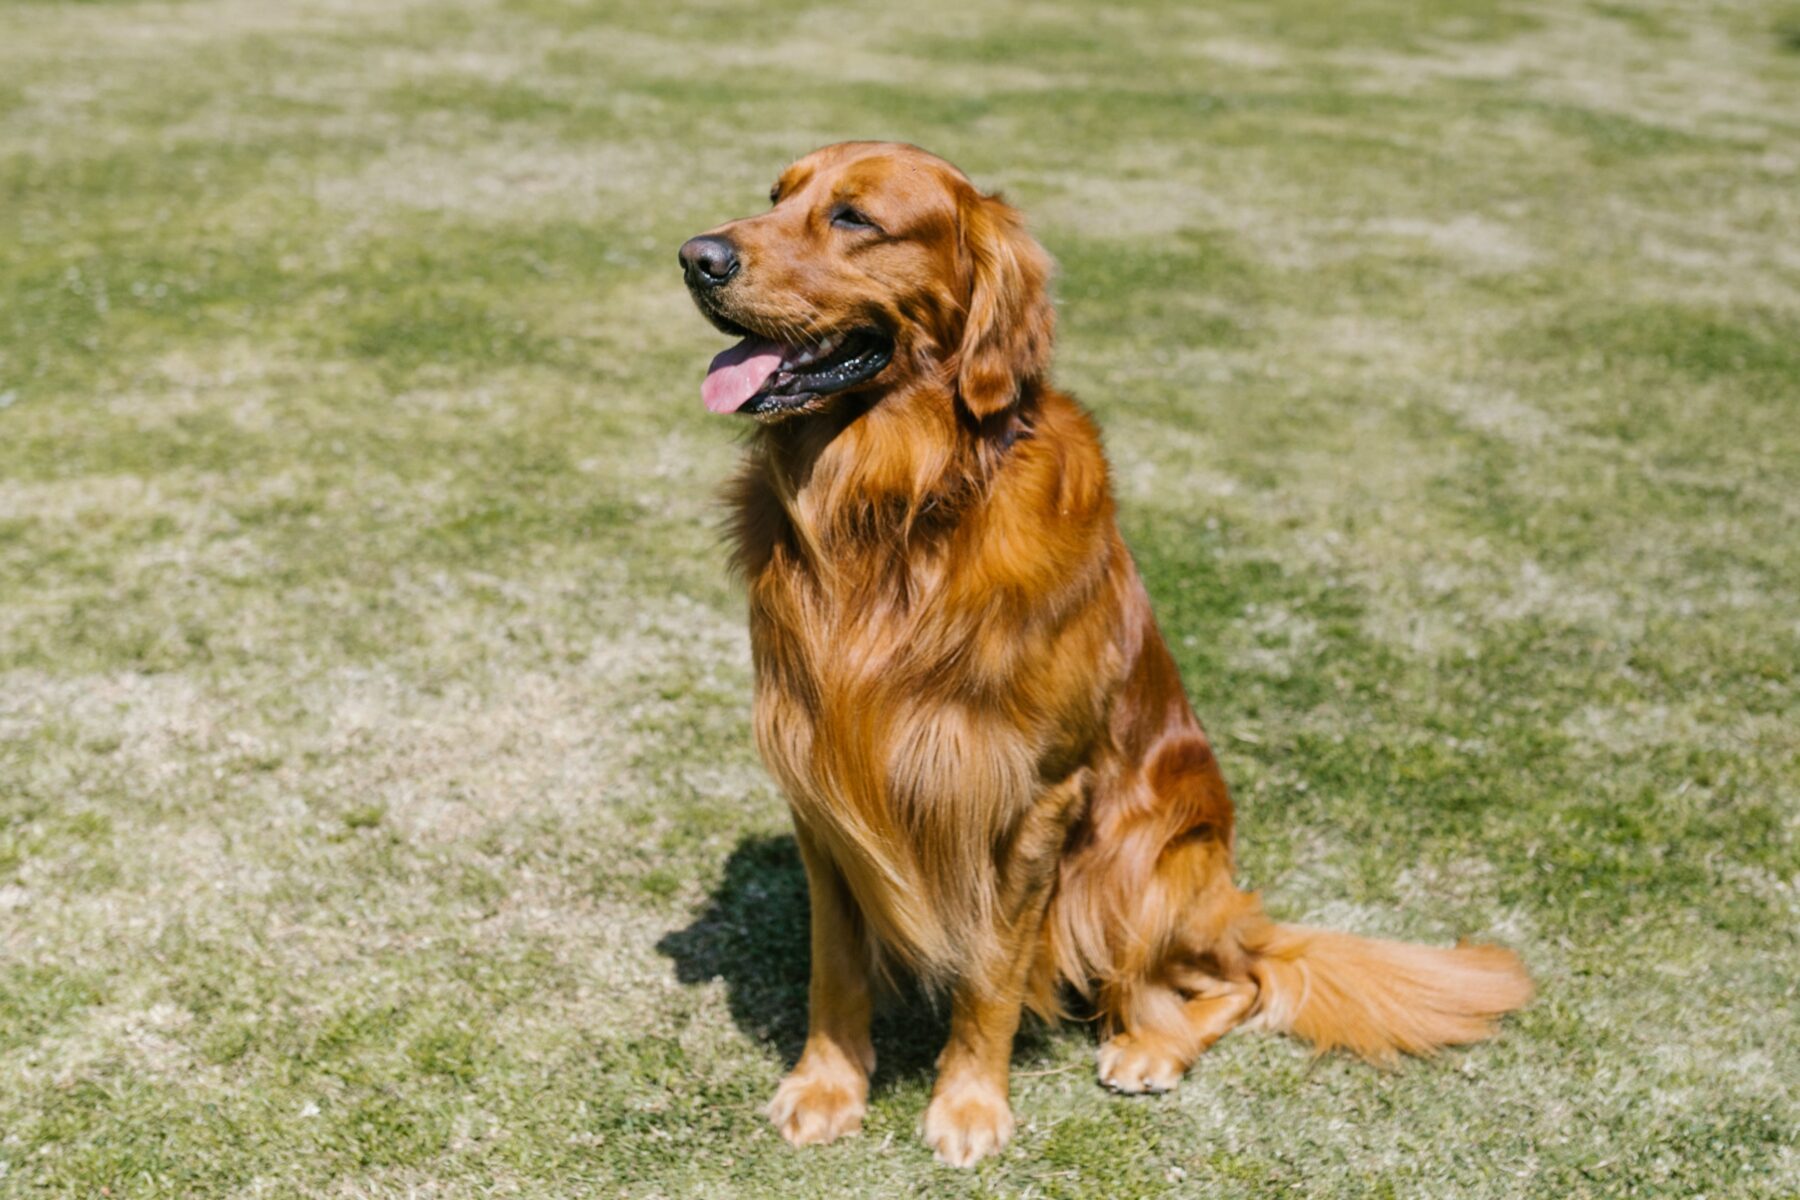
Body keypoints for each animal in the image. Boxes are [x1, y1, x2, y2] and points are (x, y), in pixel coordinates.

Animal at [680, 138, 1526, 1165]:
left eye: (853, 218)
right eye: (775, 196)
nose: (695, 257)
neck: (896, 513)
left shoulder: (1028, 795)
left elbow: (992, 975)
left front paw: (969, 1106)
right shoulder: (823, 783)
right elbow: (834, 964)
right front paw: (828, 1085)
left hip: (1132, 863)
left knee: (1236, 983)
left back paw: (1151, 1045)